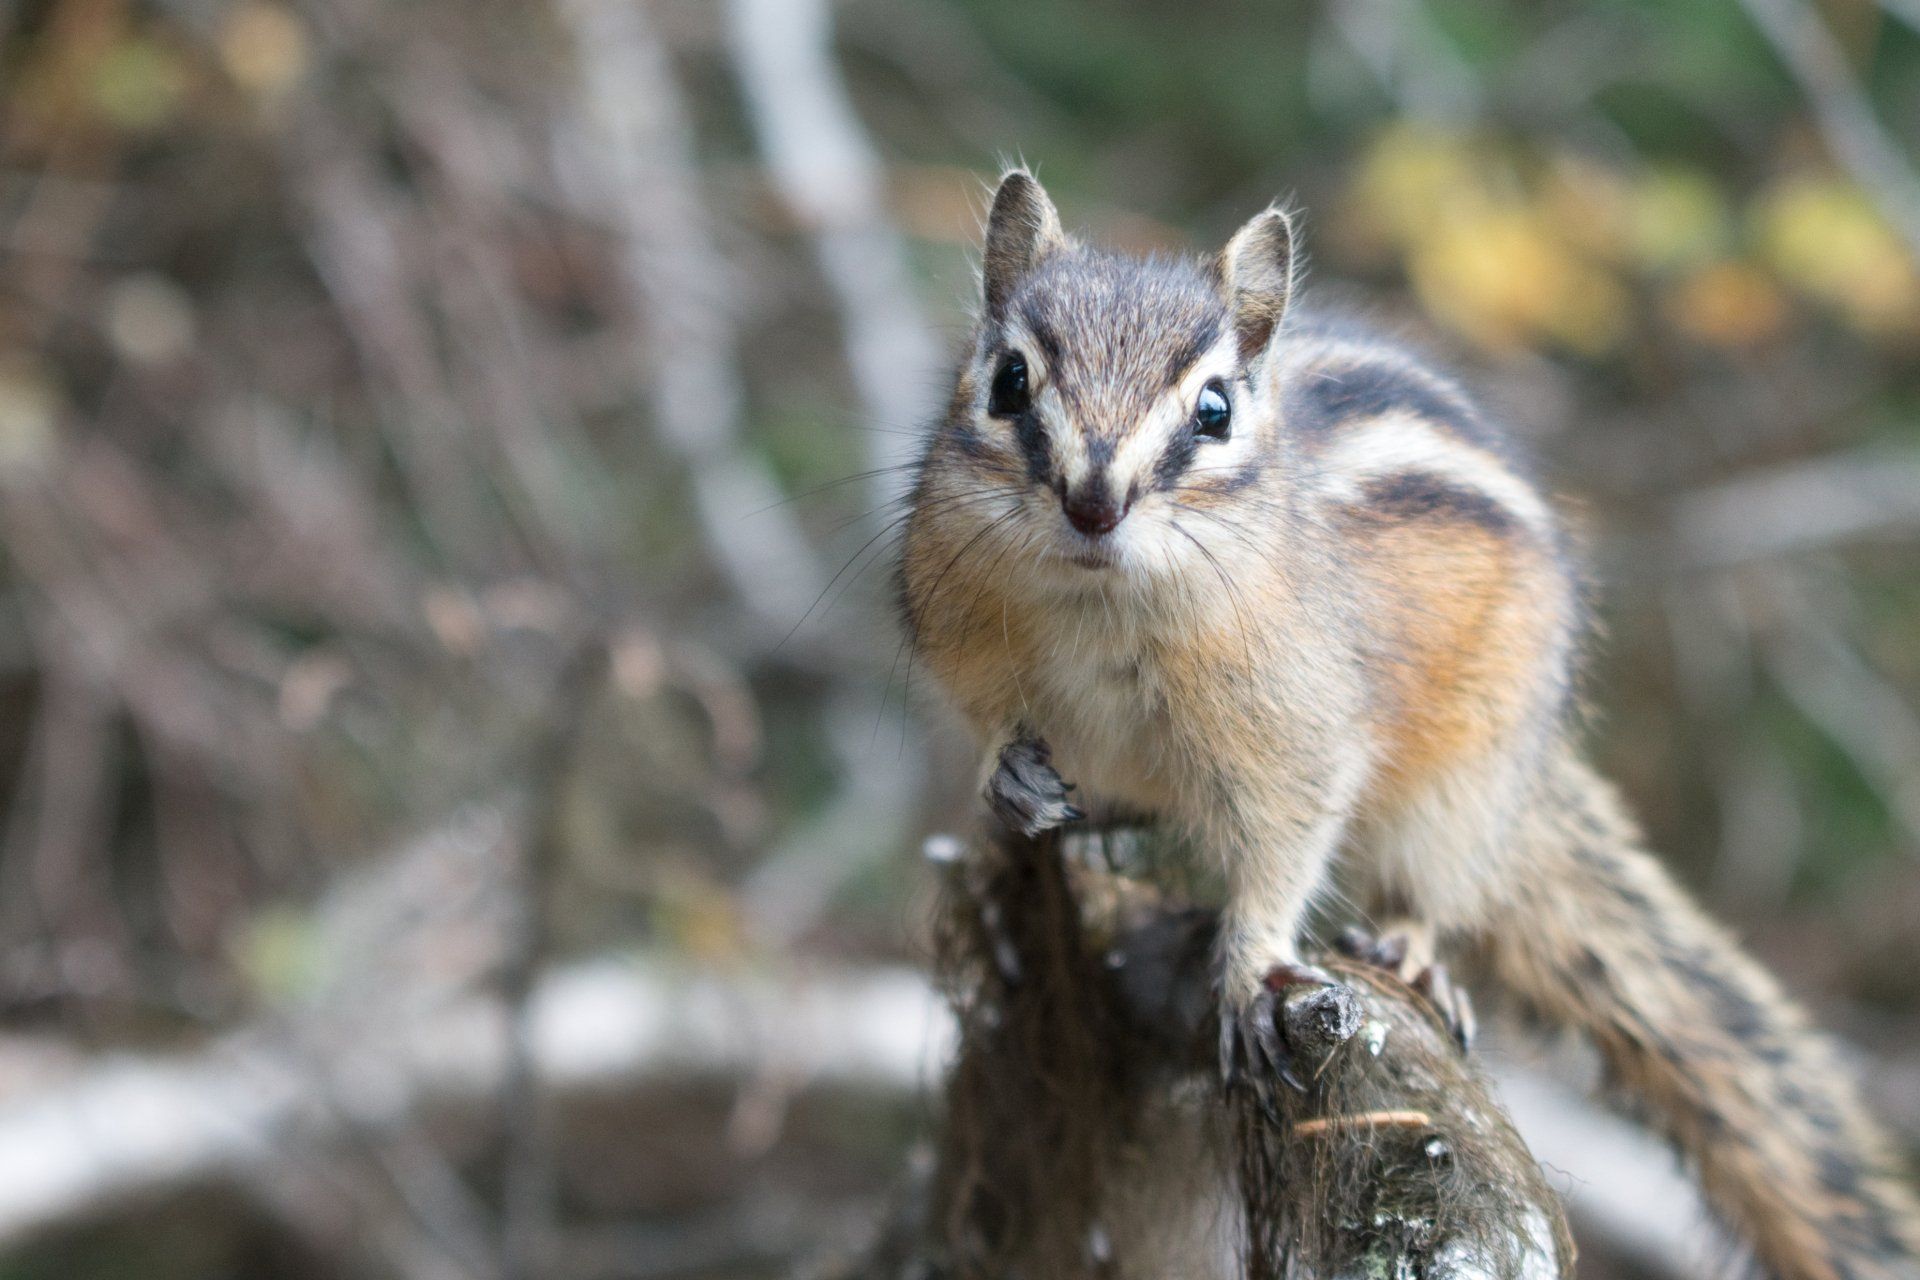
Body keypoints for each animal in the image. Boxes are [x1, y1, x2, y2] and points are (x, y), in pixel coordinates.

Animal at [897, 168, 1920, 1280]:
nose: (1094, 500)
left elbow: (1284, 843)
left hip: (1463, 783)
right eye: (1009, 381)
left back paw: (1410, 944)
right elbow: (988, 715)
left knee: (1434, 878)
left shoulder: (1296, 732)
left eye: (1214, 409)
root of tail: (1531, 777)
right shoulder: (956, 624)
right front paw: (1009, 775)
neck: (1098, 605)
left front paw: (1250, 967)